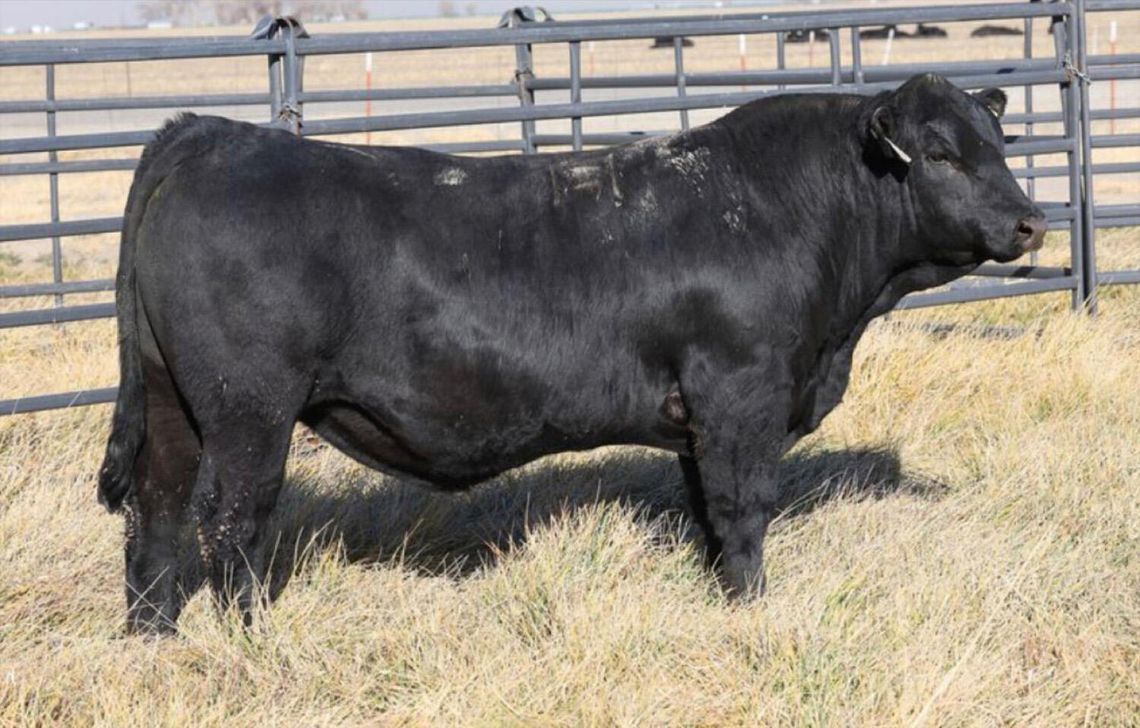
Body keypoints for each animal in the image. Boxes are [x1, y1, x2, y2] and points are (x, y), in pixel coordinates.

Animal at [97, 73, 1046, 634]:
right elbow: (743, 510)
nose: (1030, 222)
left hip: (174, 402)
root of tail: (210, 134)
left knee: (157, 510)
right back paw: (249, 640)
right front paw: (752, 612)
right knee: (232, 521)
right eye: (938, 152)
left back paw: (154, 636)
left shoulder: (700, 416)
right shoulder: (740, 396)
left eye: (999, 144)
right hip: (248, 409)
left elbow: (706, 513)